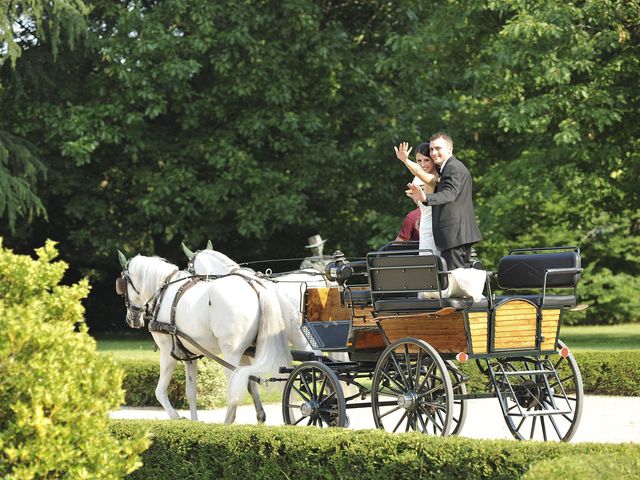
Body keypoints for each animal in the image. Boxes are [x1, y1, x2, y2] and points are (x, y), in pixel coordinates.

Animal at [116, 253, 292, 422]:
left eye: (122, 285)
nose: (131, 319)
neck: (164, 291)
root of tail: (255, 286)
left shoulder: (167, 352)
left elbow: (159, 391)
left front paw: (176, 418)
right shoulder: (188, 355)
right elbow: (191, 392)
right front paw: (194, 422)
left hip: (232, 354)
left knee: (234, 392)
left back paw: (227, 423)